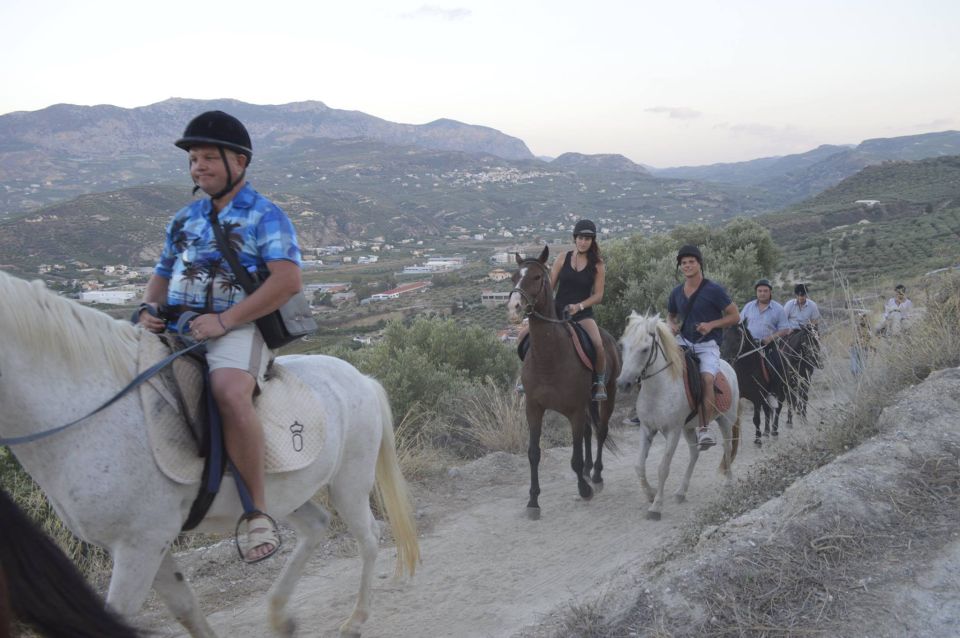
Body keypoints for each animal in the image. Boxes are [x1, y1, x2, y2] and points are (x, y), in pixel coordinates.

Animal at [0, 272, 420, 636]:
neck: (91, 410)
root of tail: (361, 378)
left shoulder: (140, 544)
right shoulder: (149, 544)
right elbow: (186, 608)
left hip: (349, 482)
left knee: (369, 536)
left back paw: (355, 620)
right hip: (286, 493)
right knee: (317, 526)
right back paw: (280, 615)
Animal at [502, 248, 624, 524]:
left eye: (537, 277)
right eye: (513, 276)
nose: (514, 308)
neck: (549, 358)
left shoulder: (574, 410)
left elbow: (575, 458)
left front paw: (584, 489)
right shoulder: (534, 409)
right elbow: (534, 453)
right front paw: (533, 502)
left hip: (608, 393)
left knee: (601, 431)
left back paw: (596, 476)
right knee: (589, 432)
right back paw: (589, 472)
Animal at [616, 312, 744, 524]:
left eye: (644, 349)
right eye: (623, 346)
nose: (623, 384)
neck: (659, 389)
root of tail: (728, 367)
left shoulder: (673, 432)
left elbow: (663, 468)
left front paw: (656, 506)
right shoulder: (647, 429)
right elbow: (639, 466)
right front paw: (650, 494)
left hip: (725, 420)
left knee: (727, 447)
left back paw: (729, 481)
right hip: (689, 428)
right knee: (694, 454)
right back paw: (681, 492)